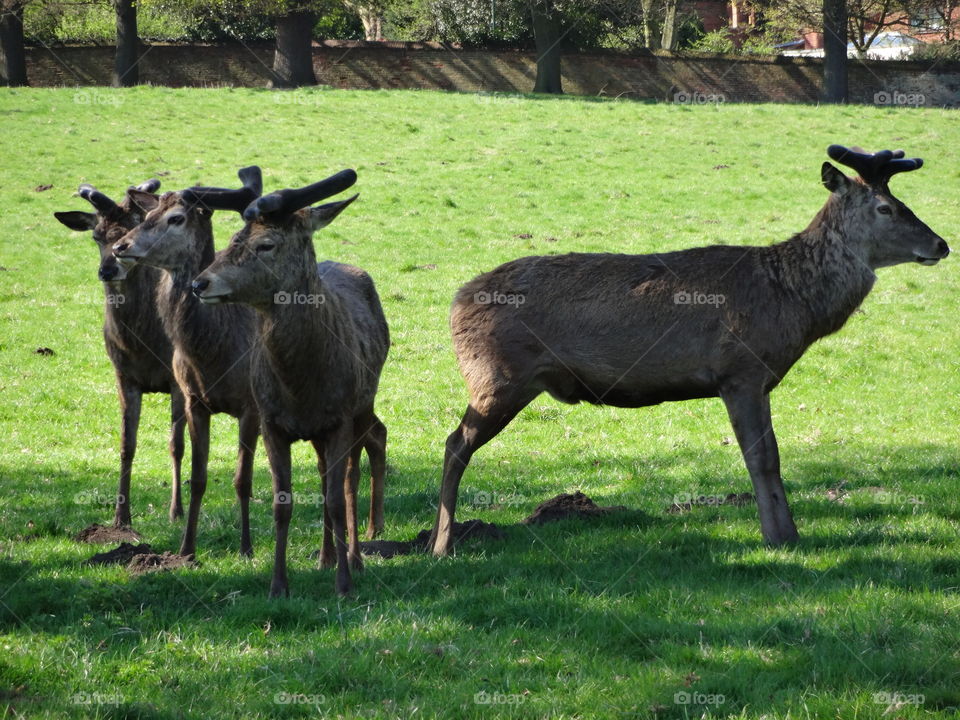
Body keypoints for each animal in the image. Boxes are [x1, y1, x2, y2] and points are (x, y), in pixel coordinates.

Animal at [54, 179, 188, 528]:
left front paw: (176, 511)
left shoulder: (177, 380)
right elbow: (127, 444)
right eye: (97, 235)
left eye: (131, 230)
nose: (108, 269)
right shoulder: (122, 374)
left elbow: (176, 444)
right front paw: (121, 516)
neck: (143, 345)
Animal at [111, 169, 264, 556]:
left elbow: (242, 479)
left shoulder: (251, 404)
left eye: (176, 218)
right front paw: (186, 548)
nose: (121, 247)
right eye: (147, 215)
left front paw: (246, 547)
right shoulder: (195, 400)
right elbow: (198, 477)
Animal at [191, 169, 390, 596]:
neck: (300, 387)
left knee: (350, 478)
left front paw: (344, 585)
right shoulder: (271, 421)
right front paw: (278, 584)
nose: (200, 284)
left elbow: (336, 498)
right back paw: (325, 556)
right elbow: (282, 503)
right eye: (232, 238)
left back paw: (353, 558)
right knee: (323, 474)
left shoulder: (339, 417)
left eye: (266, 244)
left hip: (363, 404)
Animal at [430, 143, 952, 556]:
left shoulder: (755, 379)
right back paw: (442, 544)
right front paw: (780, 537)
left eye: (903, 201)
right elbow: (763, 457)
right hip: (497, 374)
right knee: (455, 444)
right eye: (885, 208)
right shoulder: (739, 370)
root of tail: (454, 301)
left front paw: (786, 533)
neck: (792, 303)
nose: (941, 244)